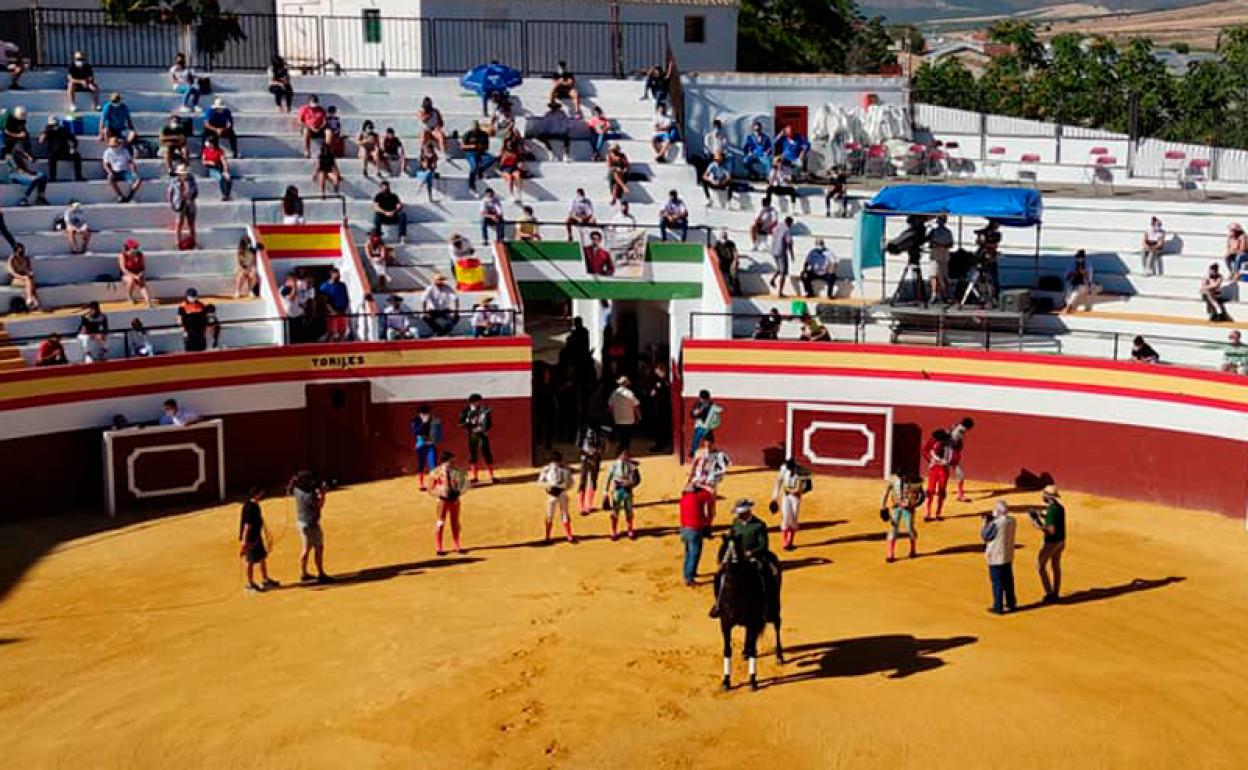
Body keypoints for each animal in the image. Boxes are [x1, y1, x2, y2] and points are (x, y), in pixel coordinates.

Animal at [718, 531, 783, 688]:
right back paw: (745, 652)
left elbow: (754, 649)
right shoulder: (725, 623)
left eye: (736, 557)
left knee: (777, 624)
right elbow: (727, 650)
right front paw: (726, 681)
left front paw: (753, 681)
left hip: (774, 606)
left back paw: (779, 656)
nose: (728, 576)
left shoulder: (753, 621)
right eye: (724, 556)